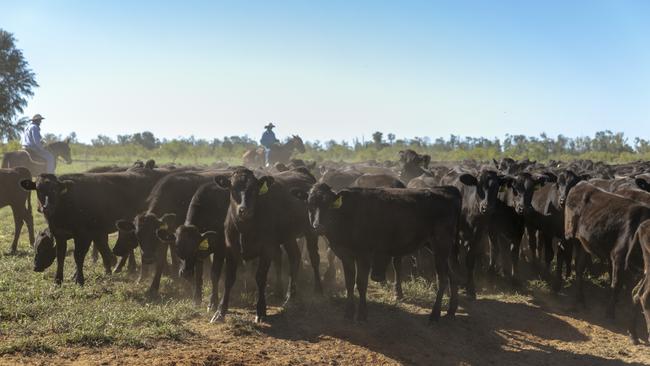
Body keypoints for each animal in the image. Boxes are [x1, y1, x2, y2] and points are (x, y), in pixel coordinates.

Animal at [296, 184, 458, 322]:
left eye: (329, 205)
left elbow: (361, 283)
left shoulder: (365, 255)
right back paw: (451, 310)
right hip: (436, 246)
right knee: (452, 275)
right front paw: (348, 312)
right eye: (310, 205)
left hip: (441, 244)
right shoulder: (345, 254)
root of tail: (446, 189)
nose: (318, 226)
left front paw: (362, 314)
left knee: (443, 277)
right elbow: (349, 283)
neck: (346, 215)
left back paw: (435, 314)